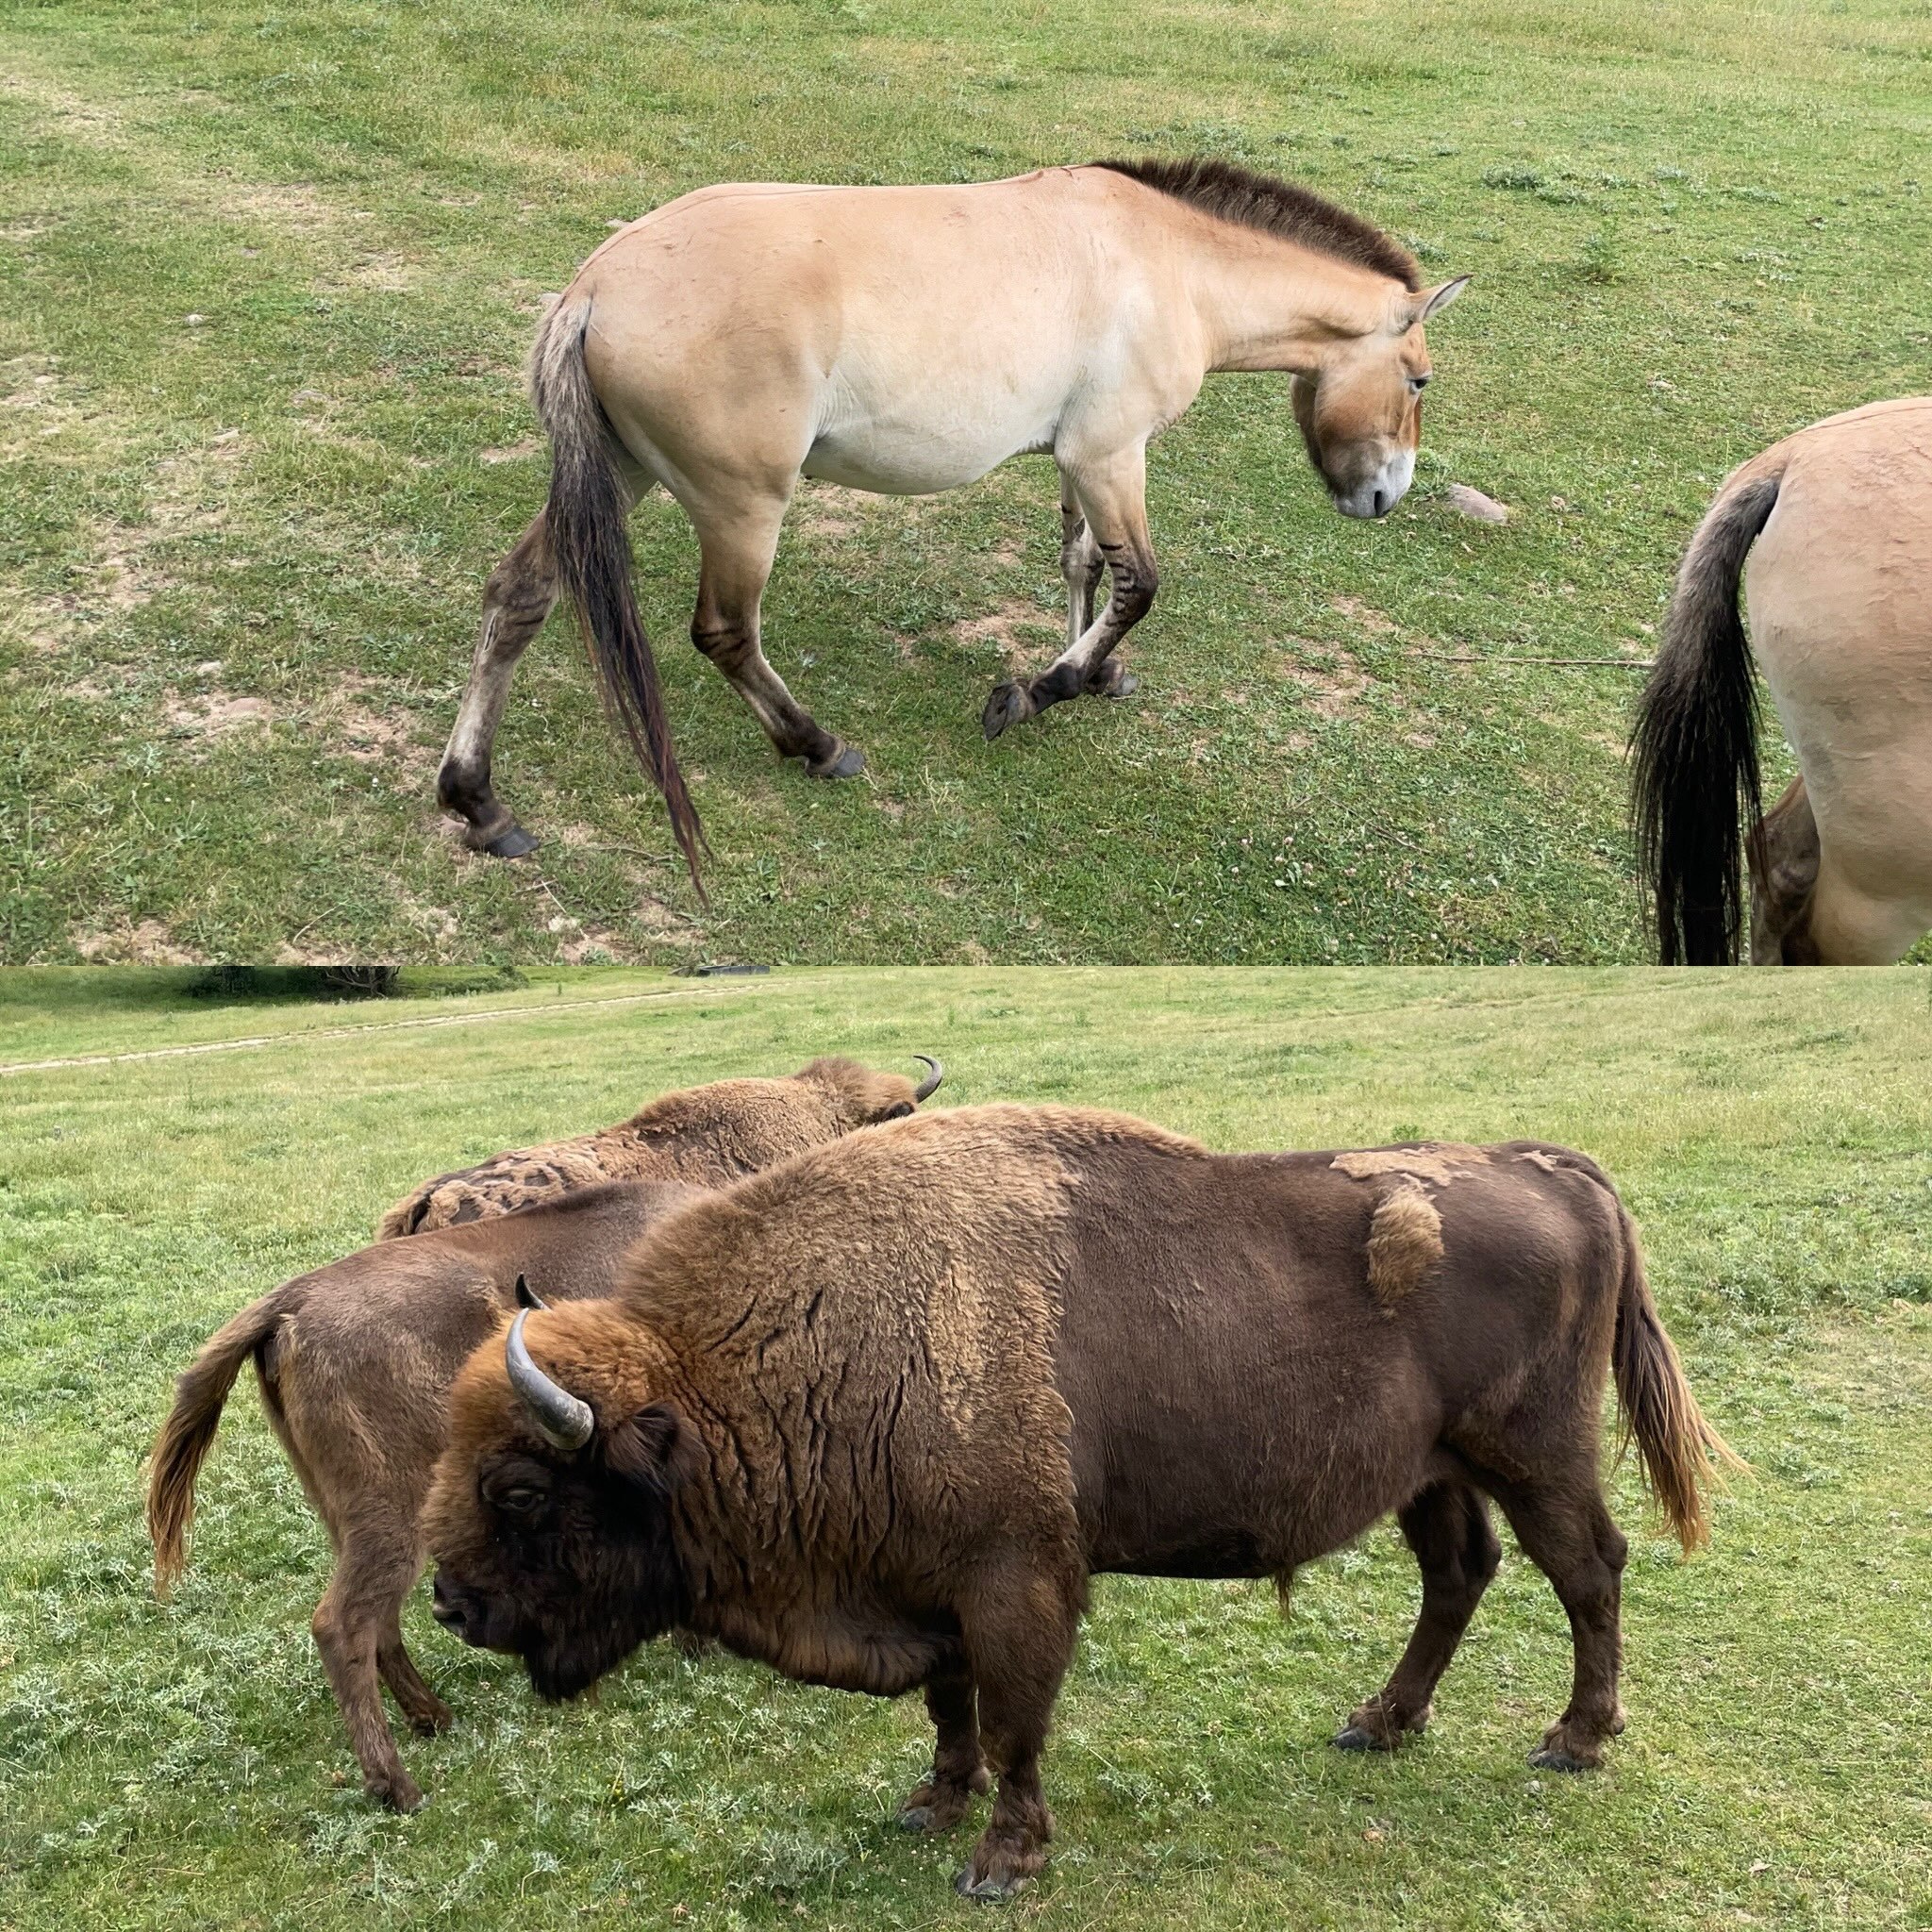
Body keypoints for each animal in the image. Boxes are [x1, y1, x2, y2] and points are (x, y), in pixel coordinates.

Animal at [147, 1056, 941, 1810]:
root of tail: (292, 1302)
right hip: (394, 1508)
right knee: (343, 1622)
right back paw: (399, 1788)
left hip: (347, 1510)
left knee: (376, 1618)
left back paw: (435, 1719)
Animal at [425, 1104, 1737, 1898]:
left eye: (521, 1487)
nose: (449, 1603)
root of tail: (1543, 1162)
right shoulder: (931, 1582)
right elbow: (950, 1708)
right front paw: (928, 1804)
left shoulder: (1017, 1579)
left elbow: (1015, 1717)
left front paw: (1001, 1859)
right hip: (1430, 1471)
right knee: (1458, 1574)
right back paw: (1377, 1720)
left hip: (1533, 1453)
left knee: (1587, 1567)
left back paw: (1571, 1739)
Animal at [433, 158, 1467, 879]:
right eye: (1416, 380)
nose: (1384, 496)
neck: (1168, 263)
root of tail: (594, 289)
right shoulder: (1111, 455)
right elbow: (1137, 582)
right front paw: (1039, 691)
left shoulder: (1079, 460)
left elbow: (1083, 566)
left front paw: (1093, 672)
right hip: (741, 508)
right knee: (725, 633)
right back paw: (818, 747)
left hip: (618, 477)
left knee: (518, 597)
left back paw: (478, 803)